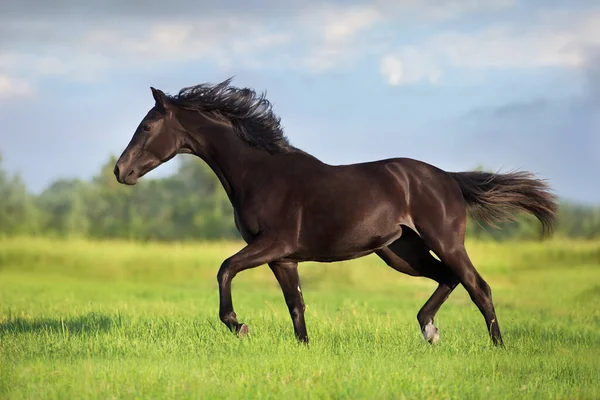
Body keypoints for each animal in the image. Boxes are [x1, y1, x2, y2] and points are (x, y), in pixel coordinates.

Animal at [113, 78, 556, 346]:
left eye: (147, 127)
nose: (121, 171)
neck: (259, 172)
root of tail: (447, 178)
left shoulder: (273, 243)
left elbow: (225, 269)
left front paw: (239, 325)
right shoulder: (283, 257)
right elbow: (296, 305)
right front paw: (304, 347)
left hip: (444, 241)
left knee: (478, 286)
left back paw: (496, 346)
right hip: (401, 251)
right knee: (447, 278)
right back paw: (429, 329)